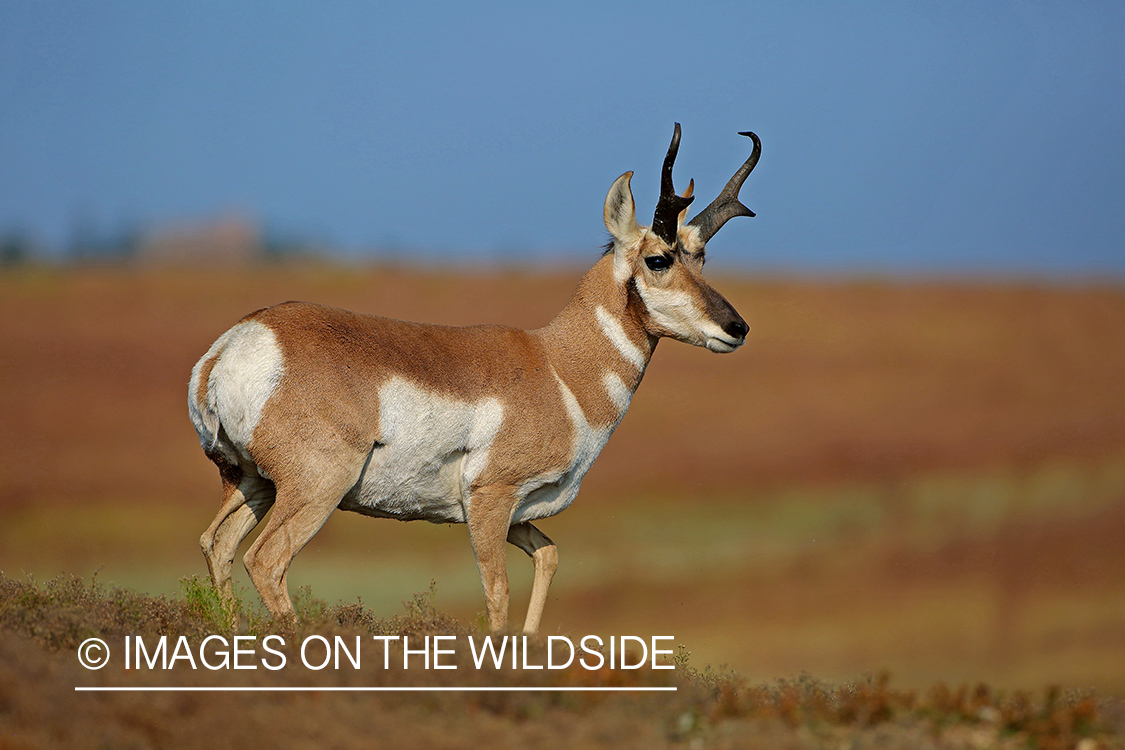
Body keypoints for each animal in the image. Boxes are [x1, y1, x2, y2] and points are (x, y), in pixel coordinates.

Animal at [189, 123, 760, 634]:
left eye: (701, 257)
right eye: (659, 259)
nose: (738, 328)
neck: (557, 366)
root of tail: (237, 342)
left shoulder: (520, 514)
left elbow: (550, 556)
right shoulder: (490, 499)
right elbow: (498, 590)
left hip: (252, 484)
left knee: (217, 544)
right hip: (316, 487)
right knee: (265, 561)